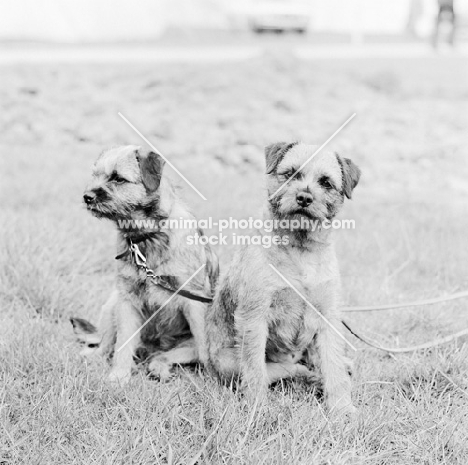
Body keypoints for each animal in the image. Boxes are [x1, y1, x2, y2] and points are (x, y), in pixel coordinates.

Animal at [72, 146, 218, 384]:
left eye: (118, 178)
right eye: (95, 175)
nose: (87, 197)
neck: (148, 238)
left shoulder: (194, 302)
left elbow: (205, 348)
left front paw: (213, 380)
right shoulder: (127, 302)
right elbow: (122, 345)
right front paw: (119, 377)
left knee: (163, 356)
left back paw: (159, 369)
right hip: (112, 304)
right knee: (106, 344)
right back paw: (93, 356)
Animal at [207, 142, 360, 414]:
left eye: (326, 182)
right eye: (290, 173)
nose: (304, 197)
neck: (301, 249)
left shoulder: (328, 316)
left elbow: (334, 365)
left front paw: (342, 408)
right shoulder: (254, 317)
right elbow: (255, 368)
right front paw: (257, 406)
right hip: (231, 362)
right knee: (284, 370)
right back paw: (311, 378)